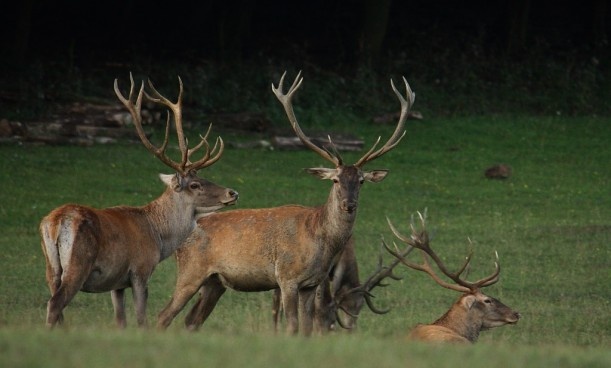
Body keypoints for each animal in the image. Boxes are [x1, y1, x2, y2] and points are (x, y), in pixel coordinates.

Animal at [38, 74, 239, 328]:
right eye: (195, 184)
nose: (232, 193)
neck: (158, 236)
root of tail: (55, 222)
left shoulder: (117, 283)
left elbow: (120, 320)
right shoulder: (140, 270)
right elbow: (142, 318)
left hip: (50, 268)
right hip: (78, 262)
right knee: (56, 303)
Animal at [155, 70, 418, 334]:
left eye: (361, 181)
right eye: (335, 180)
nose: (349, 204)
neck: (320, 242)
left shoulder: (311, 284)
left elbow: (308, 327)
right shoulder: (287, 277)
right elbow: (292, 325)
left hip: (215, 282)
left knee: (191, 320)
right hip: (190, 272)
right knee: (163, 316)